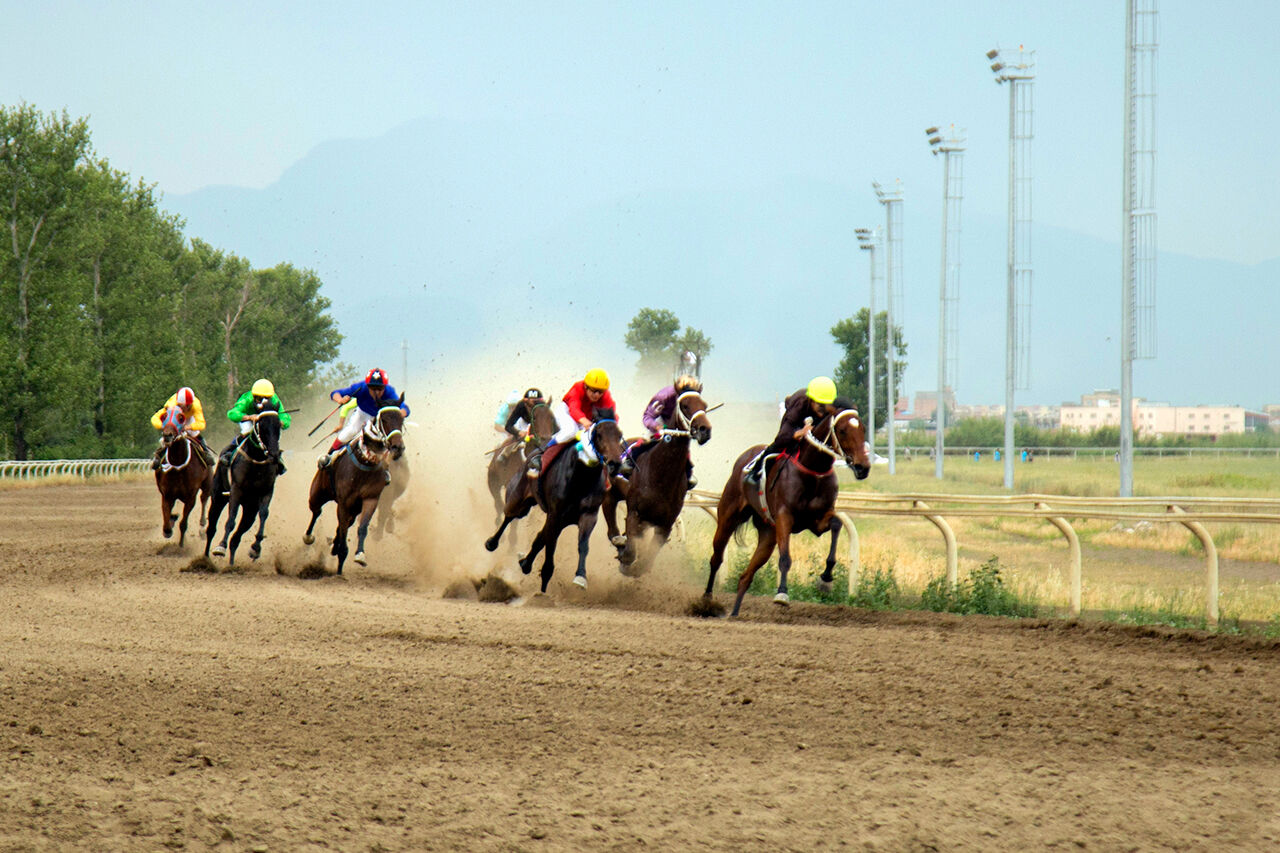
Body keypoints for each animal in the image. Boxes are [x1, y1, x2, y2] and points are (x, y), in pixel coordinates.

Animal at [204, 404, 282, 563]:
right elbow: (231, 519)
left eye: (279, 426)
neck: (257, 462)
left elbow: (264, 514)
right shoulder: (236, 490)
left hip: (250, 510)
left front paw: (256, 548)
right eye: (261, 425)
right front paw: (221, 547)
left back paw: (231, 564)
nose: (274, 455)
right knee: (211, 528)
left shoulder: (266, 491)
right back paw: (205, 559)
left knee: (236, 538)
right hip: (218, 498)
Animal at [300, 399, 404, 571]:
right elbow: (342, 528)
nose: (398, 447)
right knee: (316, 511)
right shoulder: (344, 502)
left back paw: (334, 545)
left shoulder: (370, 499)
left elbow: (361, 527)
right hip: (317, 493)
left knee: (345, 523)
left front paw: (359, 554)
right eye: (384, 419)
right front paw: (341, 557)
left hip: (354, 508)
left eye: (402, 420)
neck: (365, 462)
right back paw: (309, 537)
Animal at [483, 409, 624, 591]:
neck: (581, 479)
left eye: (619, 435)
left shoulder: (588, 515)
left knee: (537, 535)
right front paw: (545, 577)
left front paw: (580, 576)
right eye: (598, 435)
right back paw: (492, 542)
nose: (615, 462)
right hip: (518, 499)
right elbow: (550, 544)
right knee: (509, 515)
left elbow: (582, 545)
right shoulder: (555, 514)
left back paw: (525, 562)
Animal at [599, 389, 711, 573]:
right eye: (685, 405)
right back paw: (618, 538)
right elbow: (630, 553)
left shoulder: (665, 525)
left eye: (705, 406)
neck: (661, 477)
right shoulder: (635, 513)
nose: (705, 430)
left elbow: (645, 563)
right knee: (609, 510)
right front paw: (624, 554)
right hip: (614, 490)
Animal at [701, 402, 870, 614]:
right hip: (728, 518)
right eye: (842, 430)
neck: (813, 470)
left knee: (746, 576)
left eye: (863, 429)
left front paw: (825, 579)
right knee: (716, 558)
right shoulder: (785, 518)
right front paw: (782, 594)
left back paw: (734, 612)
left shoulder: (817, 521)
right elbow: (785, 558)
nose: (863, 467)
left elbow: (837, 524)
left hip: (768, 534)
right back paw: (707, 599)